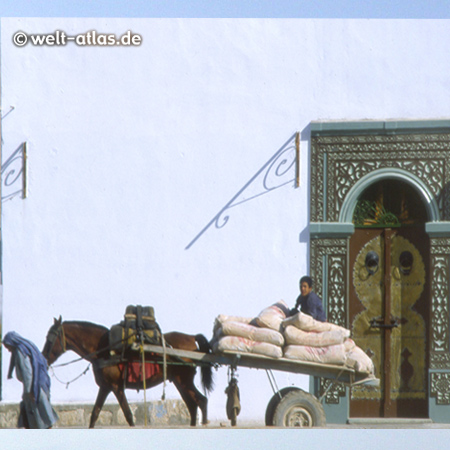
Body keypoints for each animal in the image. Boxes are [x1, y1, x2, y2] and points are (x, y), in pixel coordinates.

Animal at [41, 318, 214, 428]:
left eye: (50, 339)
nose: (43, 357)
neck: (104, 349)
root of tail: (191, 338)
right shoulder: (105, 387)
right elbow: (95, 413)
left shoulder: (116, 387)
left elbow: (128, 414)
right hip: (180, 381)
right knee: (193, 405)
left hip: (184, 380)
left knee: (202, 401)